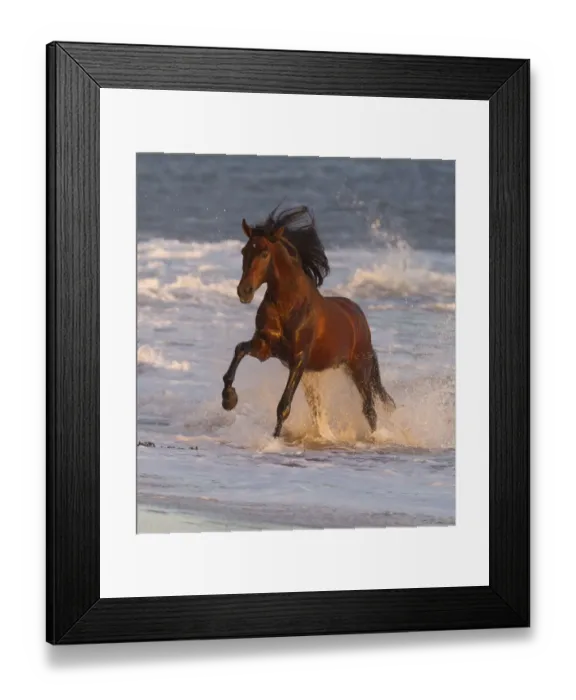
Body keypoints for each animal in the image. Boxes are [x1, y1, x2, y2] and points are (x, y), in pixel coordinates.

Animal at [221, 205, 396, 439]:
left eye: (265, 253)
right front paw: (228, 399)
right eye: (244, 251)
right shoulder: (265, 347)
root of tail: (359, 317)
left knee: (369, 409)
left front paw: (274, 439)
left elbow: (284, 405)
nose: (244, 291)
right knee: (319, 410)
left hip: (359, 368)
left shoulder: (299, 359)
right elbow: (239, 350)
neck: (288, 306)